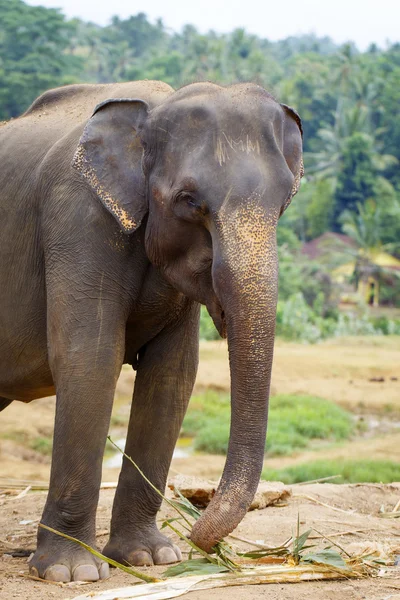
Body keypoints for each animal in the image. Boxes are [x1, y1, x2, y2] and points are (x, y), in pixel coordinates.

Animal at [0, 79, 302, 580]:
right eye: (189, 202)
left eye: (283, 205)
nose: (199, 539)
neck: (156, 106)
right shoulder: (78, 219)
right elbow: (91, 358)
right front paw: (72, 572)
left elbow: (172, 374)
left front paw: (151, 558)